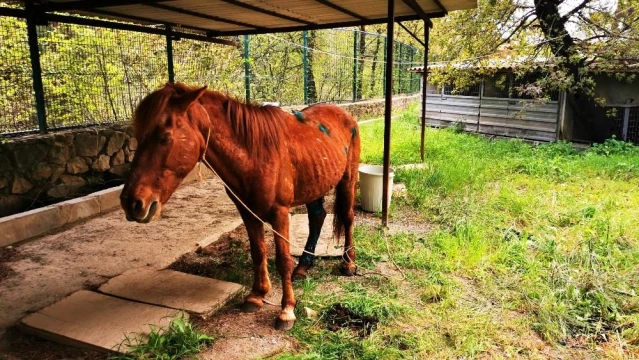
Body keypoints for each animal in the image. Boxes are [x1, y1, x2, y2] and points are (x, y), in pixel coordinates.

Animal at [120, 83, 360, 330]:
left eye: (165, 137)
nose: (132, 203)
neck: (256, 154)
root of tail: (345, 115)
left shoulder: (280, 213)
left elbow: (282, 261)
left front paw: (287, 311)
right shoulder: (247, 211)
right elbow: (258, 252)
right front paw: (257, 296)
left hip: (348, 179)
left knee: (348, 217)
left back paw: (349, 264)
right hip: (315, 184)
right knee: (317, 218)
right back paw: (303, 267)